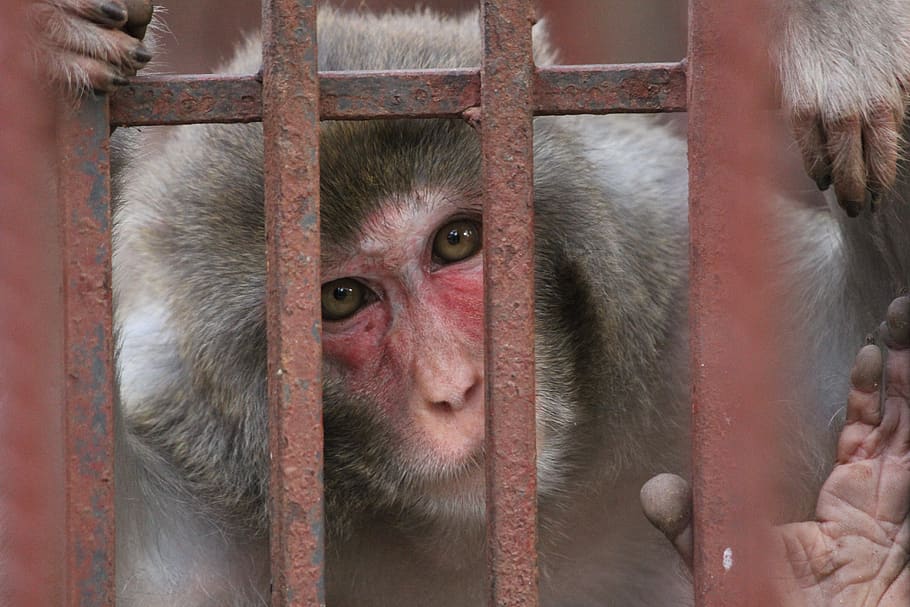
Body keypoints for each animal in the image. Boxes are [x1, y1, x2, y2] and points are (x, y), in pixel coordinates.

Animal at [31, 1, 910, 605]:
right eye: (342, 297)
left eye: (455, 241)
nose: (456, 387)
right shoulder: (212, 498)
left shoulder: (690, 317)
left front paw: (840, 31)